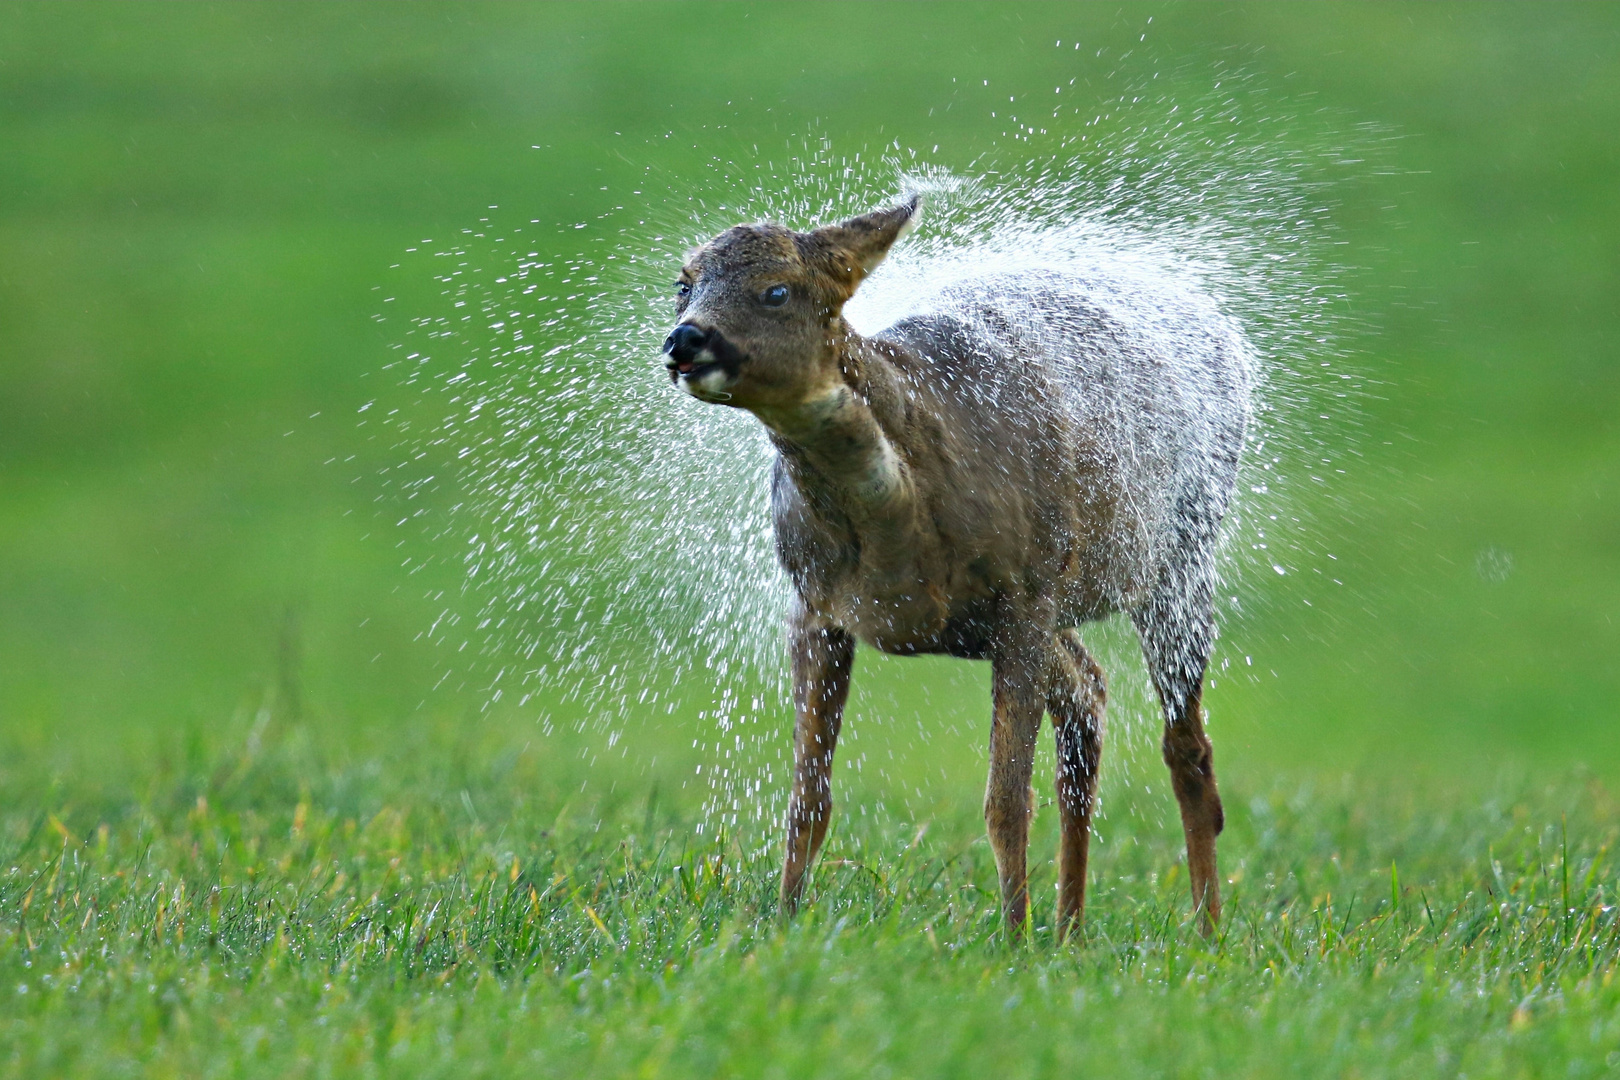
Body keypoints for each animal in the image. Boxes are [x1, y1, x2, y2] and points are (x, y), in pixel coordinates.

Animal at [657, 198, 1250, 939]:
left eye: (777, 291)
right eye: (684, 284)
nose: (685, 339)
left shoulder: (1025, 591)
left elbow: (1005, 801)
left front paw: (1013, 940)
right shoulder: (815, 604)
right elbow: (808, 799)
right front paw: (783, 924)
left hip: (1177, 553)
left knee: (1185, 748)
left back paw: (1205, 933)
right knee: (1088, 696)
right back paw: (1071, 930)